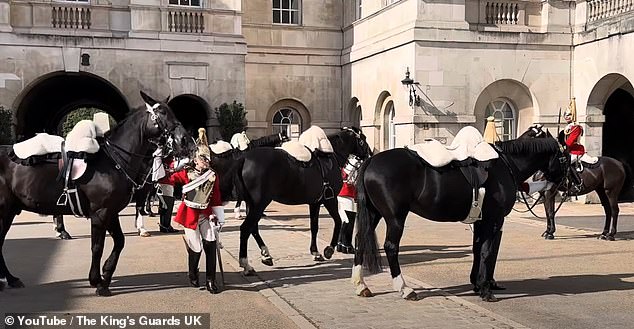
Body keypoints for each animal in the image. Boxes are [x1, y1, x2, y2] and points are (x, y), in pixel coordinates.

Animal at [0, 90, 195, 294]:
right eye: (163, 113)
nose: (185, 140)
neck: (113, 161)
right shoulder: (100, 213)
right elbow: (97, 246)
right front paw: (96, 281)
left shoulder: (111, 211)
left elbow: (119, 241)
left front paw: (106, 275)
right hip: (4, 211)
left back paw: (12, 278)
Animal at [233, 127, 370, 272]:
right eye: (363, 139)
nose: (369, 155)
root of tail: (244, 159)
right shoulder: (330, 199)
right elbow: (338, 221)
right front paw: (329, 250)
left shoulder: (315, 202)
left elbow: (314, 226)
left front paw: (315, 252)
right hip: (259, 204)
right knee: (246, 228)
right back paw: (246, 263)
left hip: (253, 204)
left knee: (253, 228)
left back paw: (266, 255)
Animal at [354, 127, 564, 302]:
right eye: (564, 157)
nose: (562, 184)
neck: (505, 164)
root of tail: (371, 160)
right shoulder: (494, 219)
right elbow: (487, 251)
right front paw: (485, 290)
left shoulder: (480, 221)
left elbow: (478, 248)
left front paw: (477, 284)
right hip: (395, 217)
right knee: (391, 247)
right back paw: (405, 289)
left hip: (374, 214)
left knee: (360, 241)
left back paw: (361, 285)